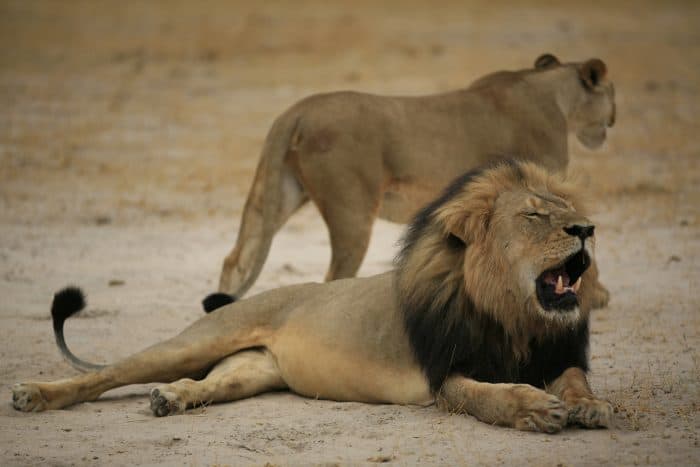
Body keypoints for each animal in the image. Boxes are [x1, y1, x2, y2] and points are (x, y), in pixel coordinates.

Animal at [12, 163, 612, 434]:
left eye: (567, 209)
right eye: (534, 215)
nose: (587, 229)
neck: (515, 317)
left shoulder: (556, 354)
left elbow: (576, 381)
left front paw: (589, 406)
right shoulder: (445, 375)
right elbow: (491, 396)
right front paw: (534, 408)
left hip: (251, 371)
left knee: (205, 383)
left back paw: (171, 399)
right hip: (197, 340)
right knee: (107, 374)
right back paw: (35, 395)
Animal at [211, 54, 616, 308]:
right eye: (611, 93)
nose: (612, 120)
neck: (554, 94)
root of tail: (296, 111)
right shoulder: (541, 186)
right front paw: (595, 295)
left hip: (280, 192)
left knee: (237, 258)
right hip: (351, 211)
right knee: (333, 277)